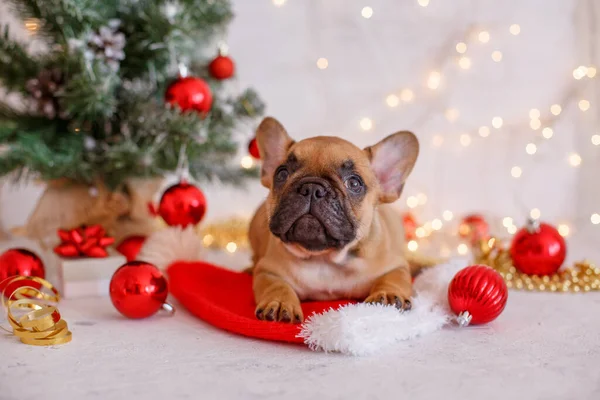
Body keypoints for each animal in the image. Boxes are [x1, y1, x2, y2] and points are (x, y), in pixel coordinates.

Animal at [247, 117, 432, 324]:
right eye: (282, 174)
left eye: (354, 183)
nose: (312, 188)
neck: (324, 258)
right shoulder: (268, 270)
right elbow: (276, 285)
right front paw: (279, 303)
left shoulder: (395, 266)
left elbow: (393, 278)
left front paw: (388, 294)